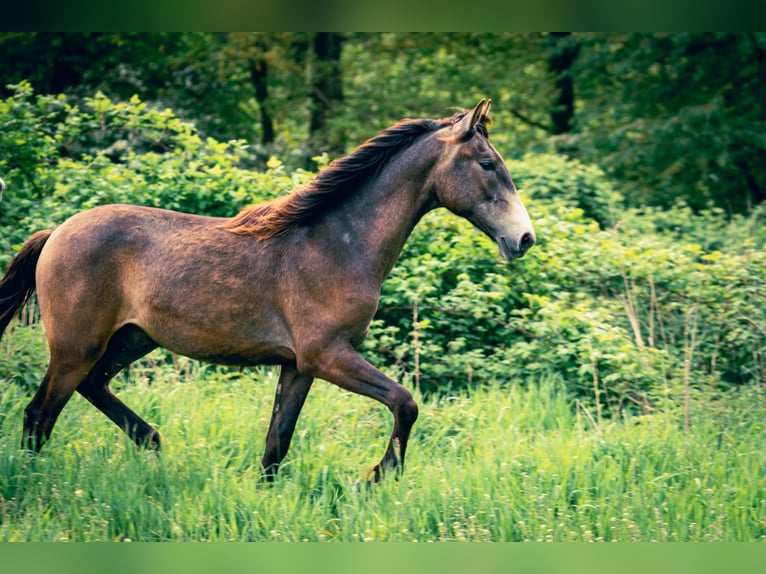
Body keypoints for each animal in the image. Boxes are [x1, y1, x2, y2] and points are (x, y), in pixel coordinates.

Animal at [0, 100, 536, 486]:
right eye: (487, 164)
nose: (524, 238)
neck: (337, 242)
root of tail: (56, 232)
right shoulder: (328, 355)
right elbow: (405, 402)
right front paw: (375, 477)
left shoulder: (298, 366)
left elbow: (277, 442)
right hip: (76, 346)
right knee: (38, 416)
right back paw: (35, 483)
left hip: (131, 339)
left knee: (91, 389)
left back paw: (151, 441)